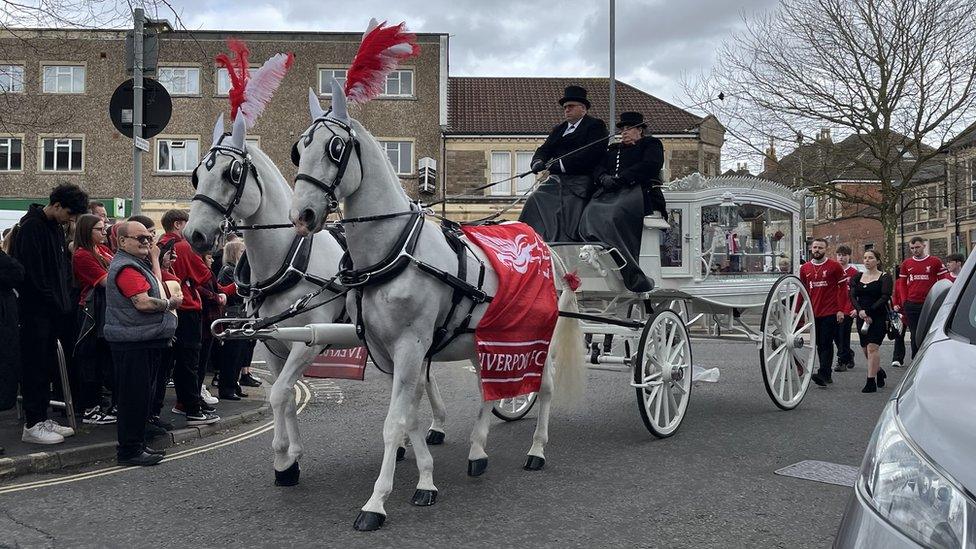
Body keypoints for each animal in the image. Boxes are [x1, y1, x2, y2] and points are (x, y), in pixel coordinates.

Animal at [183, 111, 450, 484]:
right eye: (197, 174)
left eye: (231, 173)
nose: (193, 234)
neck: (289, 255)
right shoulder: (273, 344)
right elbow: (285, 395)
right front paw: (290, 459)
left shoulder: (308, 342)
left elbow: (280, 392)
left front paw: (284, 457)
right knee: (422, 379)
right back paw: (422, 433)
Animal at [286, 79, 584, 528]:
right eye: (298, 149)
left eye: (335, 147)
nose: (301, 215)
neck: (394, 250)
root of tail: (547, 248)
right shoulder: (386, 351)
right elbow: (408, 417)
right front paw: (425, 479)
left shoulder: (412, 345)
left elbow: (394, 422)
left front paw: (376, 502)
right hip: (485, 339)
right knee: (487, 391)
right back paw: (478, 451)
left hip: (536, 339)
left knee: (544, 387)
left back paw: (536, 450)